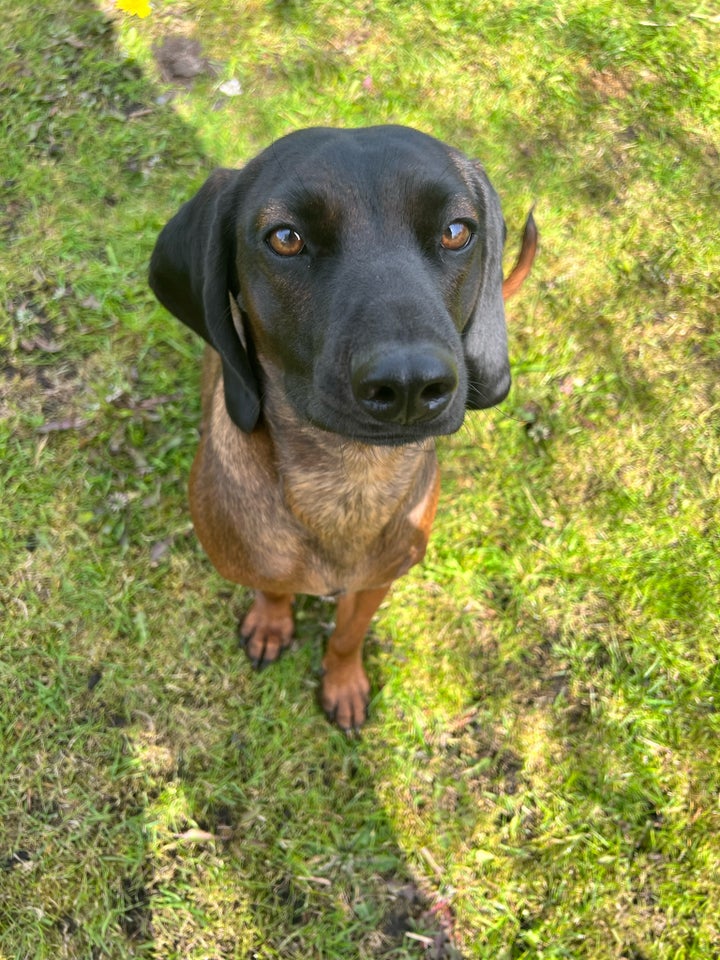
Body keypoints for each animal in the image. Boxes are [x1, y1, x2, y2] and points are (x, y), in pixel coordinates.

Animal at [150, 124, 536, 732]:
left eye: (456, 231)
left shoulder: (377, 583)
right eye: (285, 238)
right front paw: (272, 622)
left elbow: (349, 634)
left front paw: (344, 681)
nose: (409, 382)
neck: (345, 482)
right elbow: (272, 588)